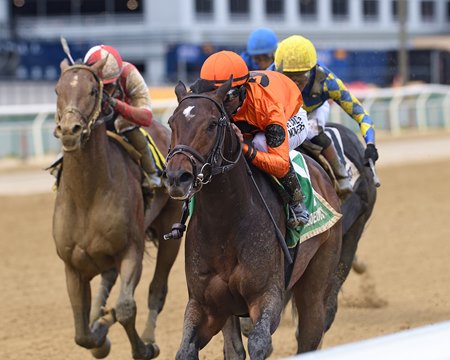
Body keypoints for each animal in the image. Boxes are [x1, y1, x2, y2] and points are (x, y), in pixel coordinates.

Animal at [51, 58, 181, 358]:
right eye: (57, 90)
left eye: (92, 91)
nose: (70, 130)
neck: (87, 196)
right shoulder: (72, 266)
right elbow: (81, 332)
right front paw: (99, 333)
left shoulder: (130, 251)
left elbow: (125, 308)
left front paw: (143, 347)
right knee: (107, 280)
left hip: (170, 231)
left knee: (158, 290)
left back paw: (148, 336)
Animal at [163, 79, 342, 360]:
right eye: (172, 122)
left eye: (212, 124)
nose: (176, 177)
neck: (224, 223)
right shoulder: (206, 306)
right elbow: (186, 350)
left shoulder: (267, 295)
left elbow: (259, 342)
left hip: (318, 278)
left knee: (310, 332)